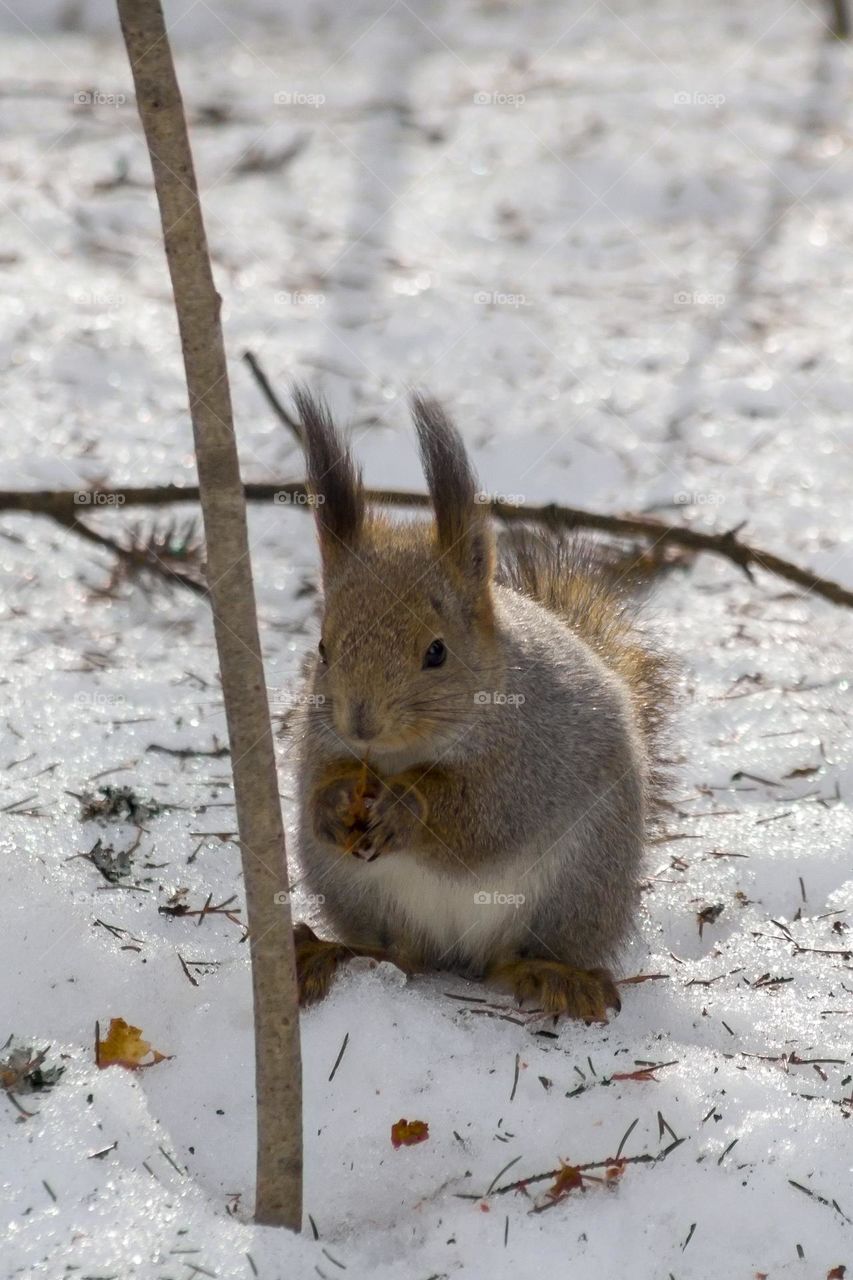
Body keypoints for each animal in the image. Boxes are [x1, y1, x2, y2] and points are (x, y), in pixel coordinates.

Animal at [290, 389, 672, 1020]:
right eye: (322, 648)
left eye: (437, 652)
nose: (361, 723)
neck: (402, 756)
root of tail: (456, 952)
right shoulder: (320, 742)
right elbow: (315, 782)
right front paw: (331, 802)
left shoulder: (527, 761)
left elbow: (483, 817)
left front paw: (408, 808)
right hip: (352, 889)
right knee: (400, 953)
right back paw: (335, 953)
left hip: (577, 884)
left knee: (510, 956)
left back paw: (552, 976)